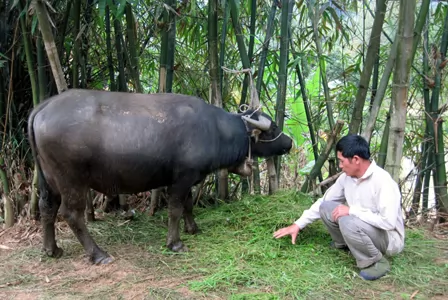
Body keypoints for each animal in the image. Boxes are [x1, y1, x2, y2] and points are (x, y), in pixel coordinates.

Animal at [28, 88, 294, 264]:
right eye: (273, 128)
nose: (290, 142)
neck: (215, 130)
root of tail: (42, 107)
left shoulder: (186, 179)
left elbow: (188, 205)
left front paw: (193, 228)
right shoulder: (181, 179)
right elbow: (175, 208)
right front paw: (175, 243)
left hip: (48, 178)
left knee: (47, 207)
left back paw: (51, 249)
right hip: (71, 180)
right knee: (71, 214)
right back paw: (98, 254)